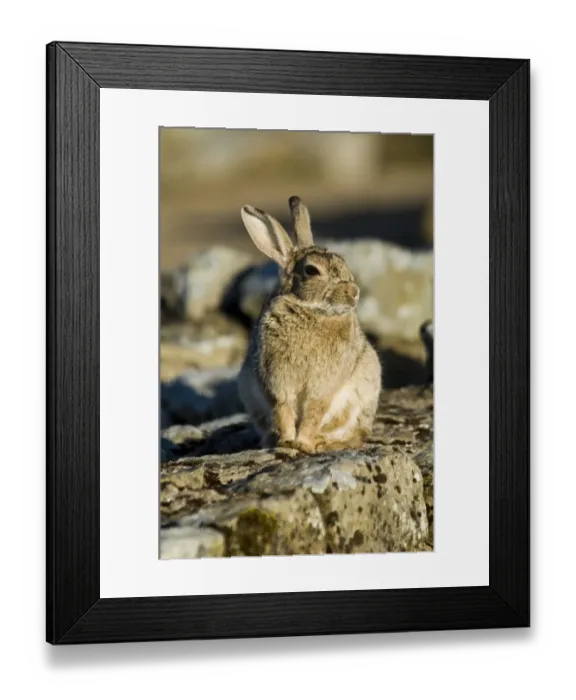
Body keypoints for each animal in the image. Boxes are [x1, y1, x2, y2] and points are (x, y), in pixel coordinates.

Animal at [237, 196, 382, 454]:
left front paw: (303, 444)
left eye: (343, 262)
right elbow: (283, 410)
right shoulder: (277, 382)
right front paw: (286, 443)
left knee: (357, 434)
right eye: (312, 270)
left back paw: (325, 443)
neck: (311, 311)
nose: (354, 292)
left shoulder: (323, 387)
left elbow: (314, 412)